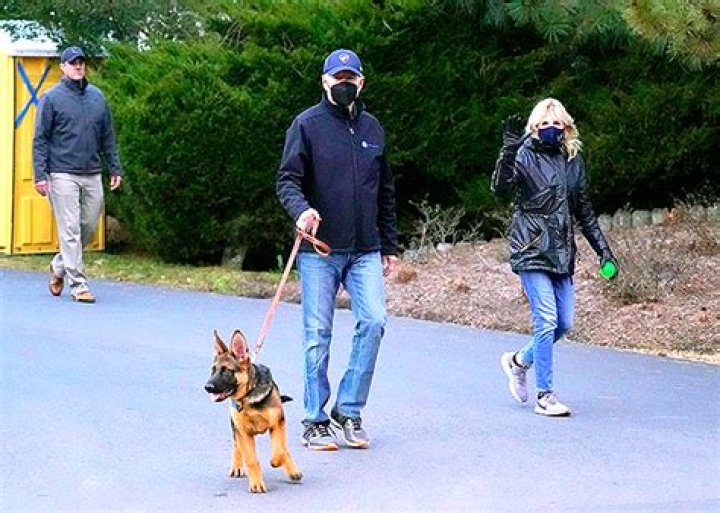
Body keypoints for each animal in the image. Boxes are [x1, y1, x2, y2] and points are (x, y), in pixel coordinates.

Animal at [204, 329, 302, 493]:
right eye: (213, 370)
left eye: (227, 371)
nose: (207, 387)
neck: (249, 397)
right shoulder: (243, 432)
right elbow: (251, 459)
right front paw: (256, 483)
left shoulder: (277, 423)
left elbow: (280, 450)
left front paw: (277, 461)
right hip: (236, 427)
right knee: (237, 445)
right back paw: (237, 466)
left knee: (283, 447)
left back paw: (292, 470)